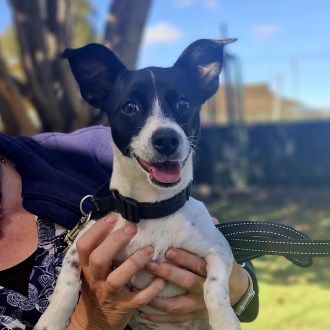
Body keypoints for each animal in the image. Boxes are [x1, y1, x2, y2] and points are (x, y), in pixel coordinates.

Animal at [34, 39, 240, 330]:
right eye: (129, 107)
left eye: (184, 103)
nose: (166, 139)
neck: (151, 207)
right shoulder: (79, 247)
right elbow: (66, 284)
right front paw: (51, 319)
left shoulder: (219, 250)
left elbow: (214, 288)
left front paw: (224, 320)